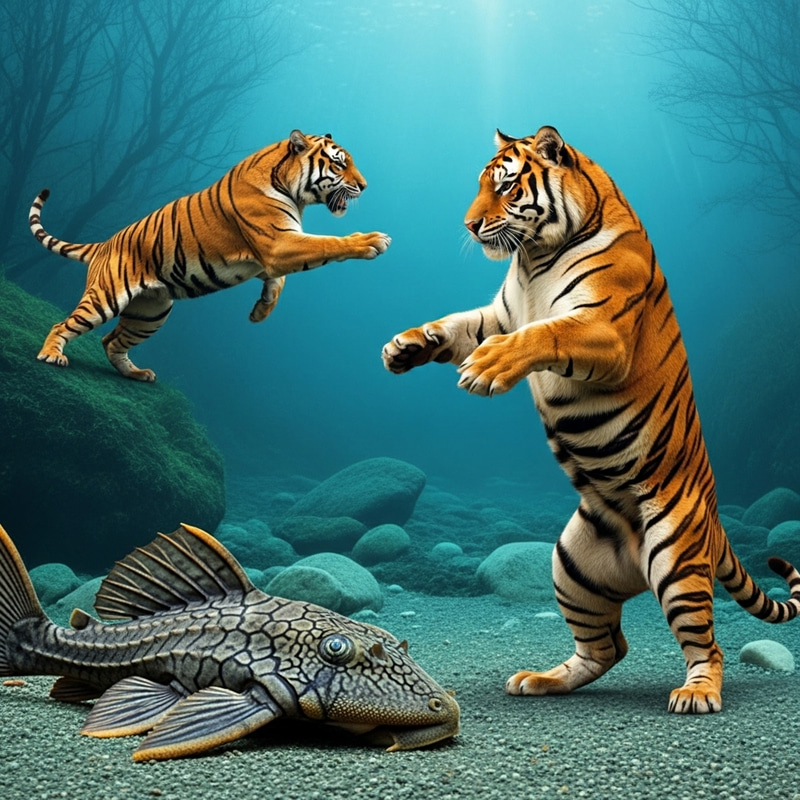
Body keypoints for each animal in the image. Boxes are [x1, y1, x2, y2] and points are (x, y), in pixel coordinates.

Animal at [29, 130, 391, 381]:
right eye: (340, 163)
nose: (365, 186)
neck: (294, 191)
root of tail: (105, 243)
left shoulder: (268, 256)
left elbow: (279, 282)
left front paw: (261, 312)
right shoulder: (278, 244)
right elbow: (326, 244)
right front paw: (372, 240)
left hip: (151, 312)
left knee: (111, 340)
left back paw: (137, 374)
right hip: (105, 297)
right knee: (63, 324)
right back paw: (51, 355)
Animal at [382, 126, 800, 713]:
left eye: (505, 186)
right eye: (482, 184)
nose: (468, 225)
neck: (533, 259)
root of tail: (716, 526)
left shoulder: (601, 327)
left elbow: (544, 333)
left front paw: (487, 367)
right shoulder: (498, 315)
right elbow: (457, 324)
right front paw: (406, 345)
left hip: (676, 561)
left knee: (706, 645)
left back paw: (697, 693)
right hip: (570, 567)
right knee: (607, 647)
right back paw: (541, 680)